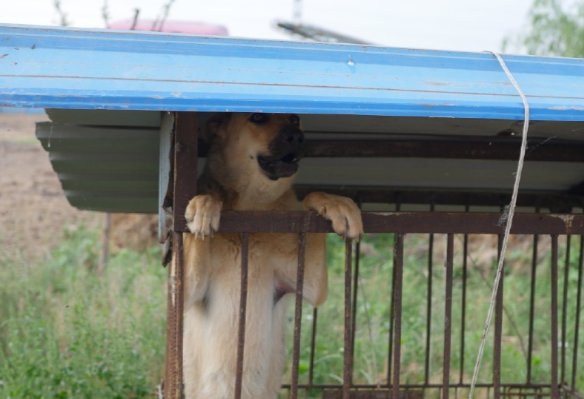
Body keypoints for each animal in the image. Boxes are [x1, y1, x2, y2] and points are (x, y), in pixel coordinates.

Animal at [184, 112, 364, 399]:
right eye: (258, 117)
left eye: (295, 119)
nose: (298, 137)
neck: (252, 209)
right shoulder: (189, 289)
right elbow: (204, 207)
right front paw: (204, 205)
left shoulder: (310, 283)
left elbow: (310, 199)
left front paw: (335, 204)